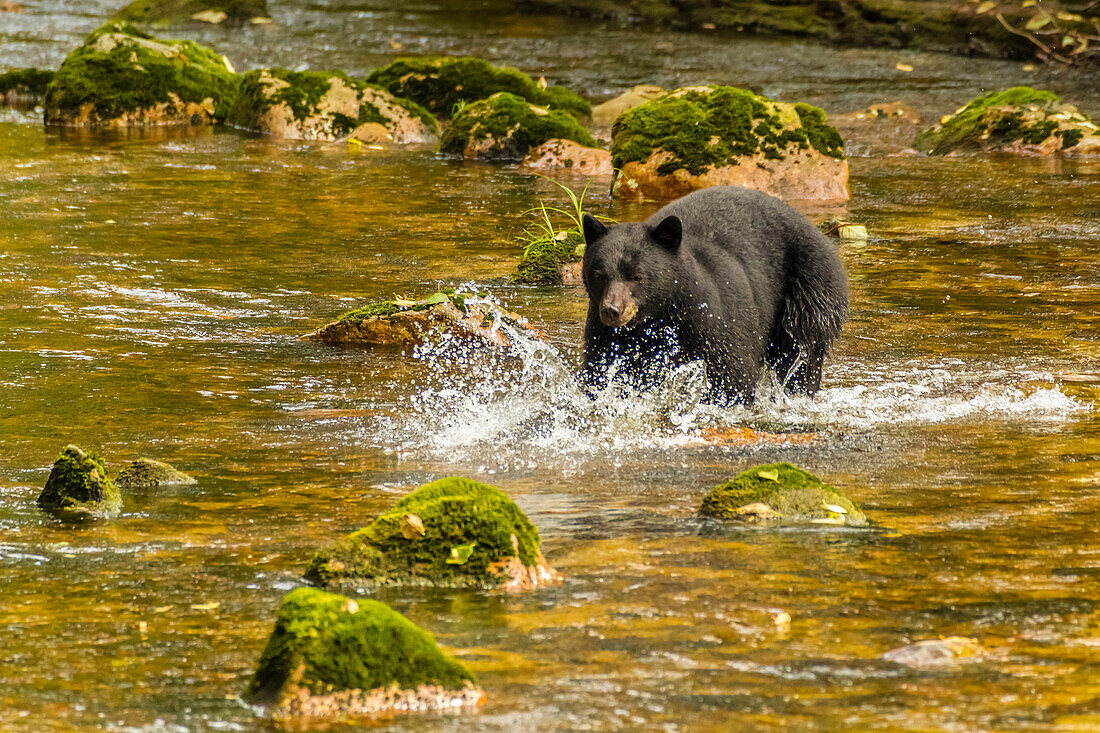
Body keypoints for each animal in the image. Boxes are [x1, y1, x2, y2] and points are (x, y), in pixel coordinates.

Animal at [585, 182, 849, 400]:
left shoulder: (715, 317)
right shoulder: (607, 335)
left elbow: (733, 371)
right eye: (598, 275)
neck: (661, 316)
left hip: (810, 286)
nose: (612, 311)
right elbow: (599, 372)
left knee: (801, 353)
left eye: (637, 277)